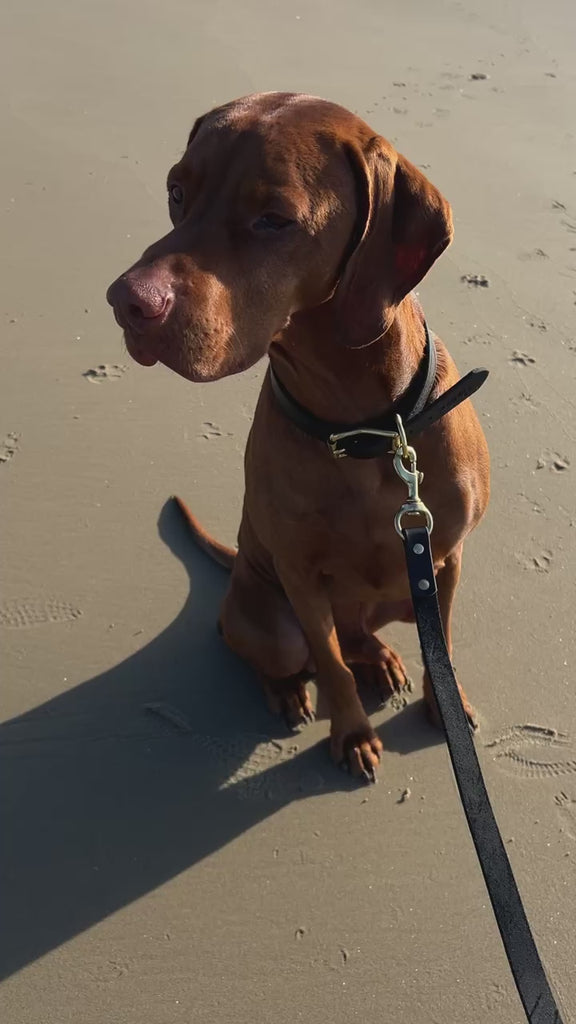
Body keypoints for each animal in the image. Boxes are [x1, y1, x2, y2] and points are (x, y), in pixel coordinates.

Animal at [105, 94, 485, 782]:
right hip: (268, 618)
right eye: (177, 192)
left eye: (274, 220)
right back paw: (289, 691)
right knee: (284, 652)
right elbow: (329, 667)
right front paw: (353, 733)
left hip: (395, 594)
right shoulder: (303, 581)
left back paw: (380, 658)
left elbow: (438, 641)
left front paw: (445, 707)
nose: (126, 303)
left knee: (359, 635)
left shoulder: (442, 559)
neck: (362, 428)